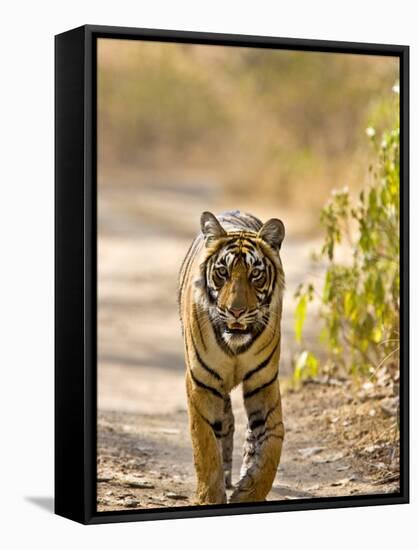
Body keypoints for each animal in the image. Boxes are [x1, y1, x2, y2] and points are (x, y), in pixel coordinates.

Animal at [179, 210, 288, 504]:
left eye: (255, 275)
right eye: (222, 273)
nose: (235, 311)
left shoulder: (264, 383)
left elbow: (273, 441)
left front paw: (249, 492)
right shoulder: (201, 383)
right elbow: (204, 443)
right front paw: (210, 496)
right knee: (223, 424)